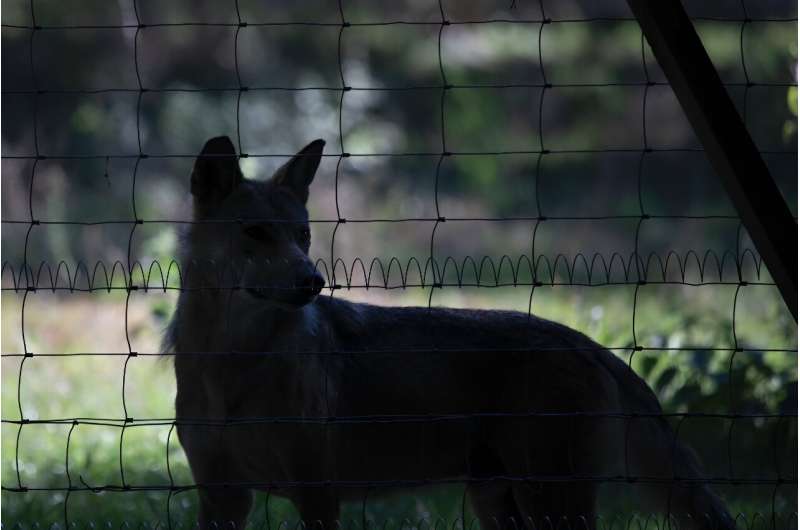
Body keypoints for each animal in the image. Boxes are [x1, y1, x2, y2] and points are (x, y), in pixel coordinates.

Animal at [166, 135, 736, 528]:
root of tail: (590, 345)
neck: (232, 364)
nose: (313, 281)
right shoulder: (223, 497)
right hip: (499, 503)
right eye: (255, 232)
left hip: (548, 501)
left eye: (303, 235)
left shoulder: (318, 496)